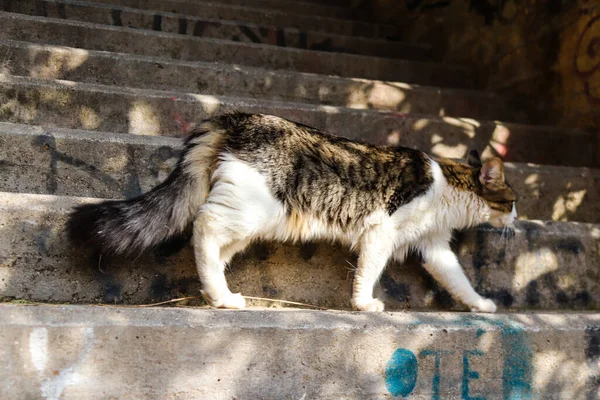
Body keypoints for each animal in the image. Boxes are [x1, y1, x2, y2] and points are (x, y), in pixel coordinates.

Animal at [67, 111, 516, 312]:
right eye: (512, 201)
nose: (515, 218)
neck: (448, 187)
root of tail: (235, 116)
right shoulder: (381, 230)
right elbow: (369, 270)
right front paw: (364, 304)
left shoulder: (435, 246)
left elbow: (458, 279)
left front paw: (482, 305)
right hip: (253, 208)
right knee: (203, 226)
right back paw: (219, 296)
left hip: (252, 220)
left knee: (214, 246)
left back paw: (221, 293)